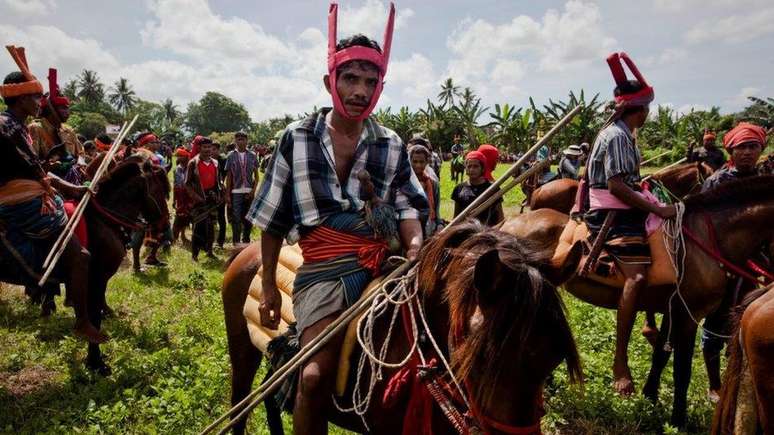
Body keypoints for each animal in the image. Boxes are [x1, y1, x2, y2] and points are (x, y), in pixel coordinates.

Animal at [0, 160, 170, 374]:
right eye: (161, 189)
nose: (164, 223)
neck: (104, 220)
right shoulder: (97, 279)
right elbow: (94, 317)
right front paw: (96, 362)